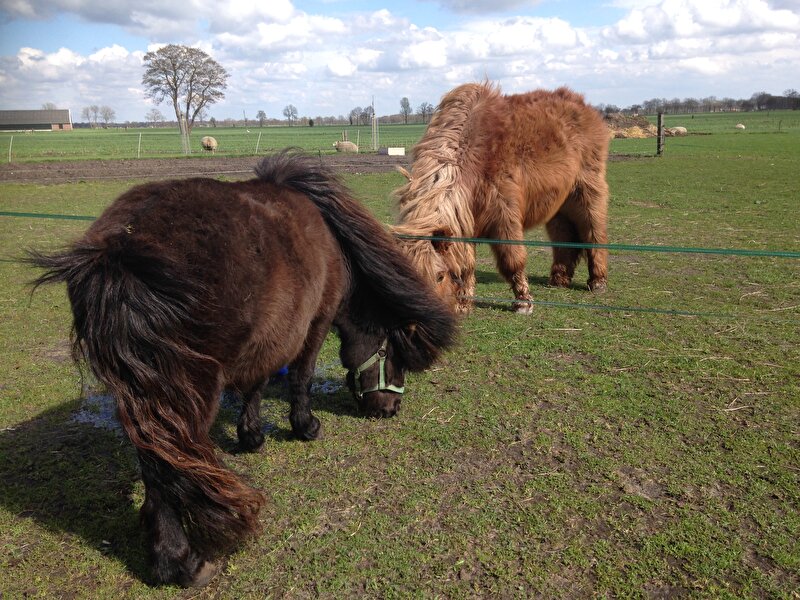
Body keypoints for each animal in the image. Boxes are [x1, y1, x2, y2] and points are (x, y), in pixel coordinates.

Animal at [27, 150, 456, 587]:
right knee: (168, 465)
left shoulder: (268, 334)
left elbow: (256, 382)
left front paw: (251, 435)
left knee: (154, 460)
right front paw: (304, 426)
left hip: (141, 393)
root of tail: (121, 251)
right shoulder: (314, 323)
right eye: (393, 355)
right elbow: (300, 376)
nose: (390, 409)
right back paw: (181, 561)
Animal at [393, 82, 610, 314]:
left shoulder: (504, 214)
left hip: (588, 191)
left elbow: (512, 259)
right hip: (558, 204)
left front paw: (523, 302)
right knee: (563, 236)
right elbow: (466, 264)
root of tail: (582, 105)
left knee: (594, 232)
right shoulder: (466, 220)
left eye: (439, 276)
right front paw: (464, 304)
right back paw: (559, 279)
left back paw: (598, 282)